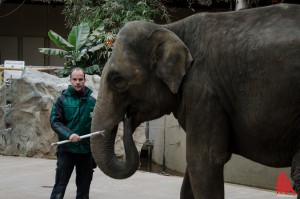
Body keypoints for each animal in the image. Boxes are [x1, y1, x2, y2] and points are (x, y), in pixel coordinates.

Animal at [90, 3, 300, 199]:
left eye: (117, 79)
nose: (126, 118)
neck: (170, 28)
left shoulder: (203, 90)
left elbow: (203, 160)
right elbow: (191, 171)